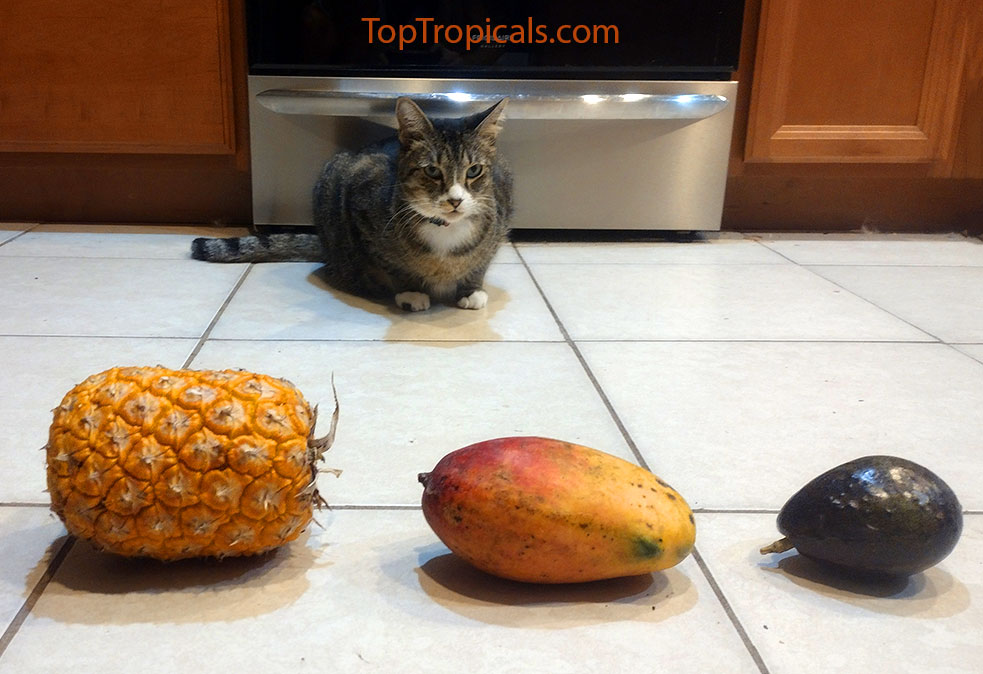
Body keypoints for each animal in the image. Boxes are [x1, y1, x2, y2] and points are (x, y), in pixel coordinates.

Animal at [192, 96, 516, 312]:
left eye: (474, 171)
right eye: (432, 171)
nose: (455, 200)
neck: (446, 230)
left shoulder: (503, 202)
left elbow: (482, 262)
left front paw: (472, 290)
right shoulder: (360, 205)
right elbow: (392, 263)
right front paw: (410, 292)